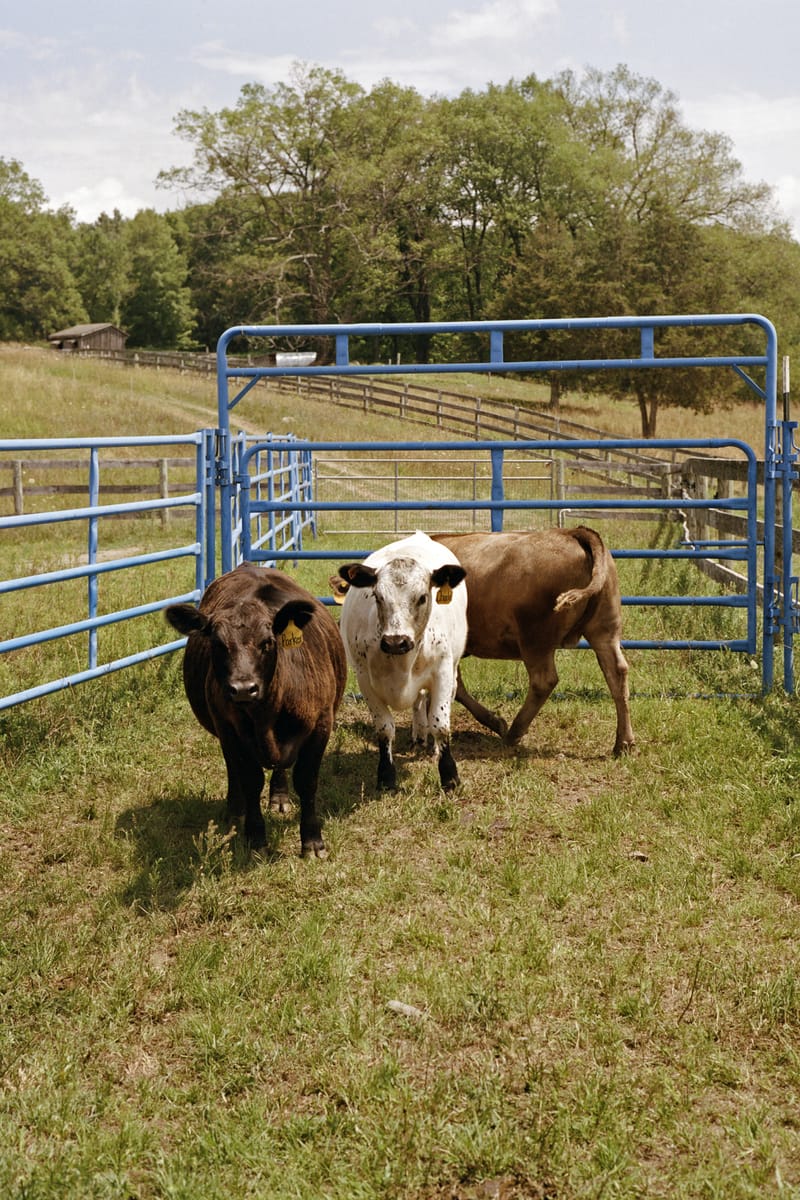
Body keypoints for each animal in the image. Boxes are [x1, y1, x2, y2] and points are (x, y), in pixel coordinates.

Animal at [164, 561, 345, 854]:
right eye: (217, 644)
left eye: (267, 642)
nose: (243, 688)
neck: (266, 715)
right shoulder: (230, 729)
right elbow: (249, 779)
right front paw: (256, 837)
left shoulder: (321, 725)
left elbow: (307, 781)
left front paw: (312, 840)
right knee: (233, 769)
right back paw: (235, 809)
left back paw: (279, 797)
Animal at [335, 530, 470, 792]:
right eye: (377, 596)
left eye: (422, 597)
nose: (396, 641)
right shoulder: (365, 681)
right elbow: (385, 728)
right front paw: (386, 776)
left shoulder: (442, 673)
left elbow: (440, 723)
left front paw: (449, 776)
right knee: (417, 704)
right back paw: (419, 736)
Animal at [434, 528, 633, 753]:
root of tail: (573, 532)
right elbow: (457, 686)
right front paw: (495, 721)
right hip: (605, 630)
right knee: (616, 673)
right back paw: (624, 743)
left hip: (535, 638)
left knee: (543, 681)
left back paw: (514, 733)